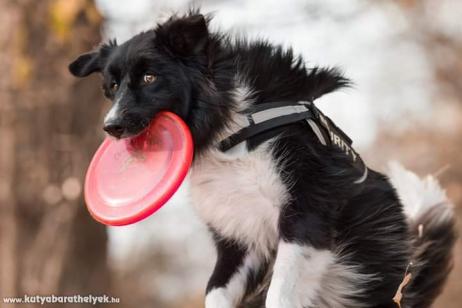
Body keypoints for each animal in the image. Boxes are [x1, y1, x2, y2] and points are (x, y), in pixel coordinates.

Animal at [68, 12, 454, 308]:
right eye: (111, 88)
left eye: (149, 77)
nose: (110, 127)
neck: (229, 132)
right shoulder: (238, 239)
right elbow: (215, 292)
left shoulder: (306, 215)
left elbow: (279, 295)